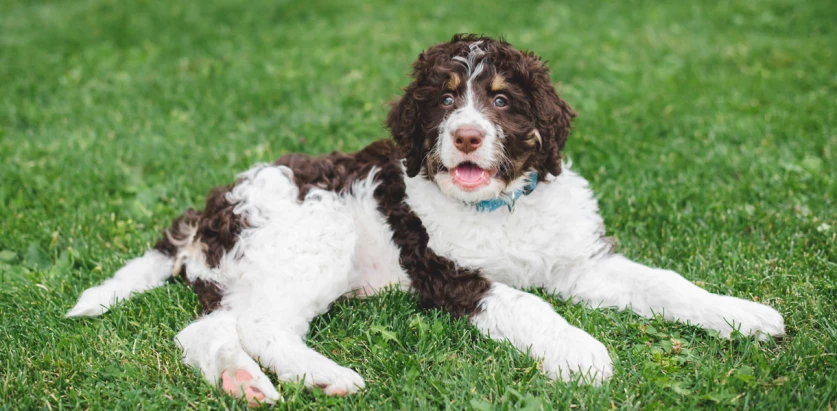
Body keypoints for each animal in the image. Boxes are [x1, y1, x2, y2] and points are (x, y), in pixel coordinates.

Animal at [67, 34, 784, 406]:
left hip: (251, 270)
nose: (466, 136)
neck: (501, 205)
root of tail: (210, 208)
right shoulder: (450, 273)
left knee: (206, 330)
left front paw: (742, 315)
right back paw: (325, 375)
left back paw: (243, 382)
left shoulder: (583, 262)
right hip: (310, 239)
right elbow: (530, 305)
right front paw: (583, 355)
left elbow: (666, 283)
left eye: (501, 100)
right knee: (261, 326)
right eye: (443, 99)